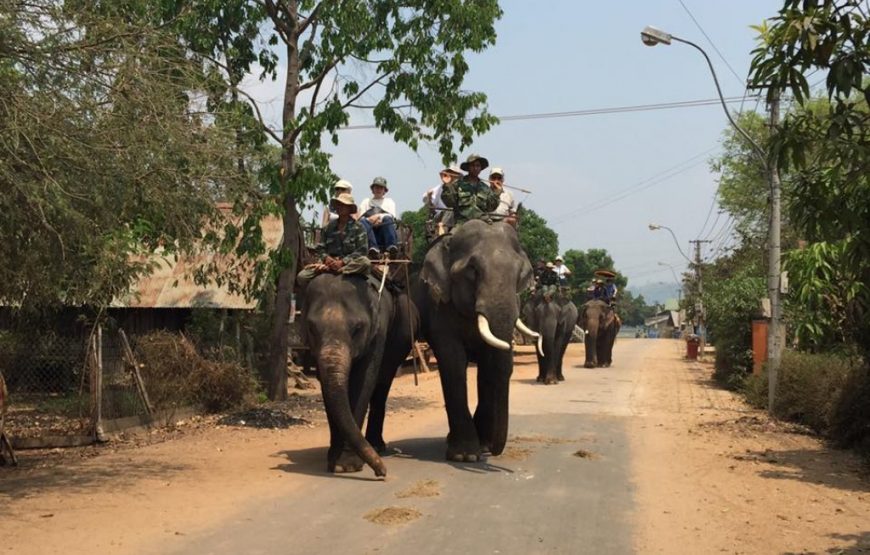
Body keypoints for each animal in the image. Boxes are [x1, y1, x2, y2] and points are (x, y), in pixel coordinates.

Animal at [304, 272, 418, 478]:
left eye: (357, 328)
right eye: (311, 328)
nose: (382, 472)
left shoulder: (378, 331)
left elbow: (362, 381)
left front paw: (346, 466)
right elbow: (326, 386)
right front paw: (334, 460)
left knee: (382, 382)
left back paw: (377, 447)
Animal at [418, 219, 540, 462]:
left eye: (519, 274)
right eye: (472, 270)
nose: (494, 450)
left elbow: (488, 367)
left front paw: (482, 447)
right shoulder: (440, 307)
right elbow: (453, 363)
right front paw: (465, 456)